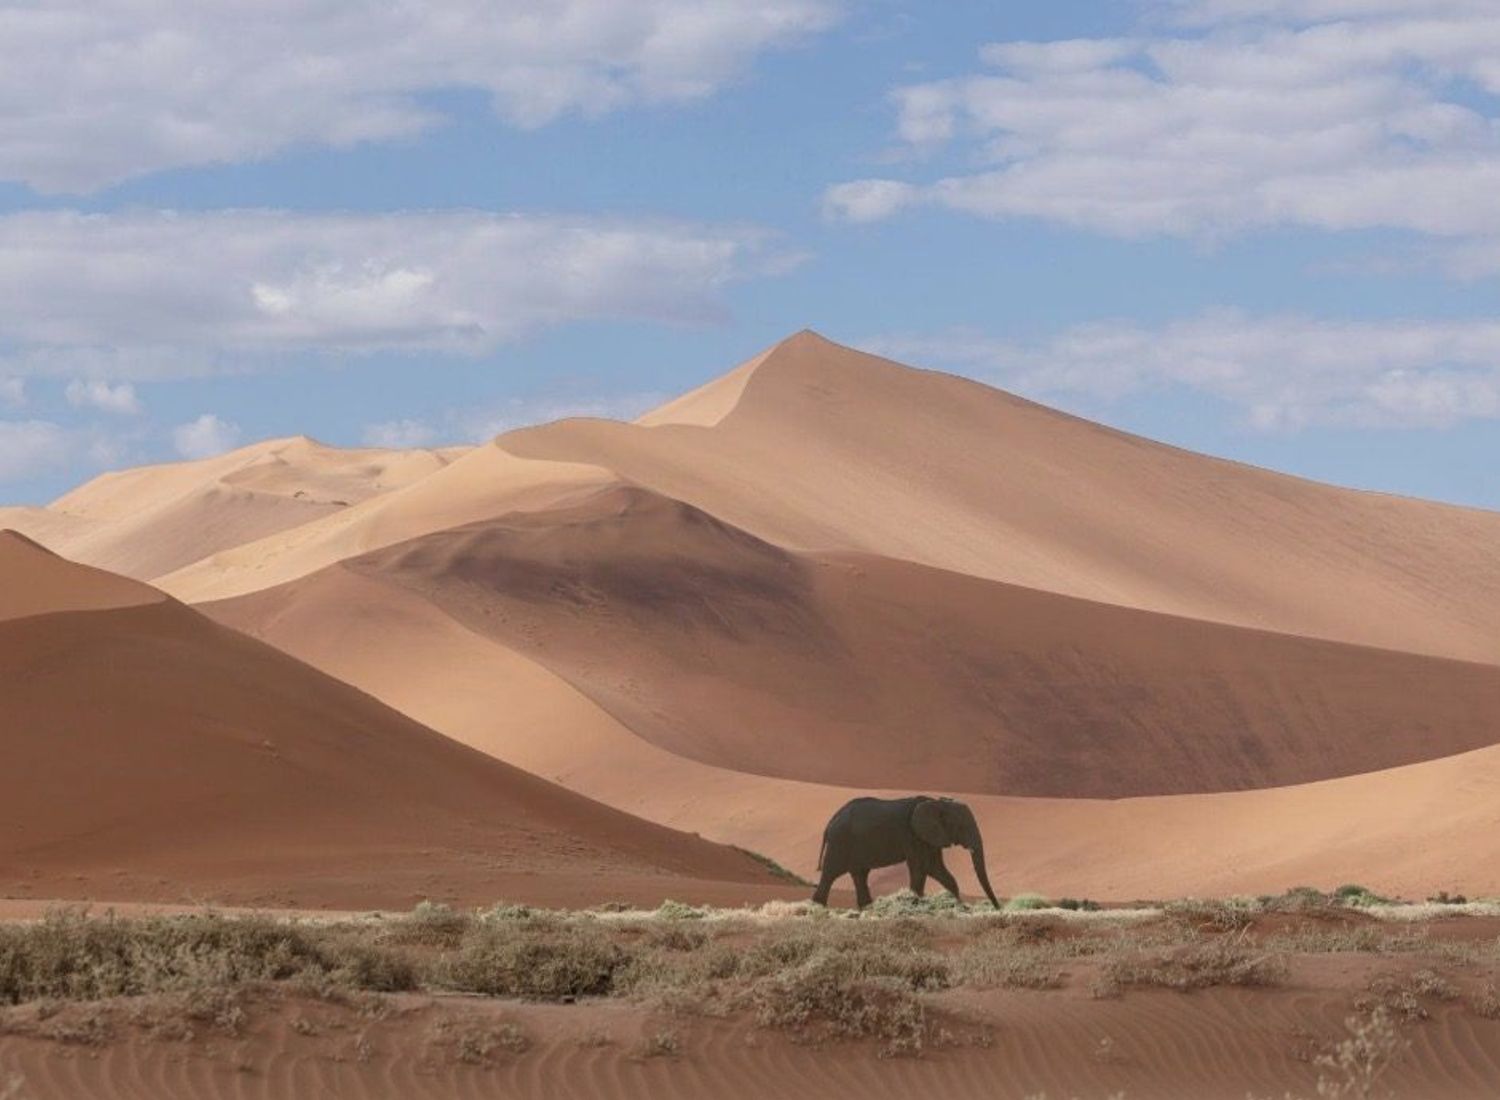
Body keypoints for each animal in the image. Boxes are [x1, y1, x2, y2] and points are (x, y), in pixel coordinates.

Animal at [811, 795, 1001, 910]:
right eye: (962, 827)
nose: (998, 908)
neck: (938, 803)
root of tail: (830, 821)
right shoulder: (913, 836)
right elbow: (920, 869)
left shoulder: (929, 837)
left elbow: (937, 870)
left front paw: (959, 906)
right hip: (840, 843)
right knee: (830, 874)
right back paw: (817, 908)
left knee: (859, 874)